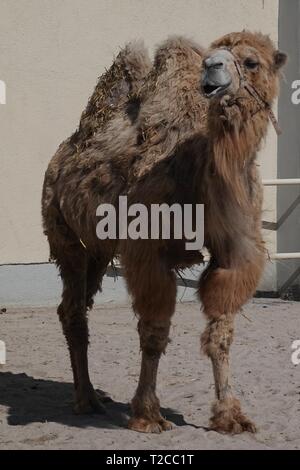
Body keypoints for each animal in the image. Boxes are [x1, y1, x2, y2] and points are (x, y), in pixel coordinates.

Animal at [41, 31, 286, 434]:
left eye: (252, 61)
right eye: (214, 54)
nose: (212, 67)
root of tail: (60, 156)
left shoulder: (234, 256)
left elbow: (221, 334)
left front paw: (230, 415)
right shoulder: (148, 252)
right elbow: (154, 333)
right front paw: (147, 415)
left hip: (99, 249)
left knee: (74, 304)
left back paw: (92, 394)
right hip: (63, 233)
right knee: (74, 310)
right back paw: (87, 399)